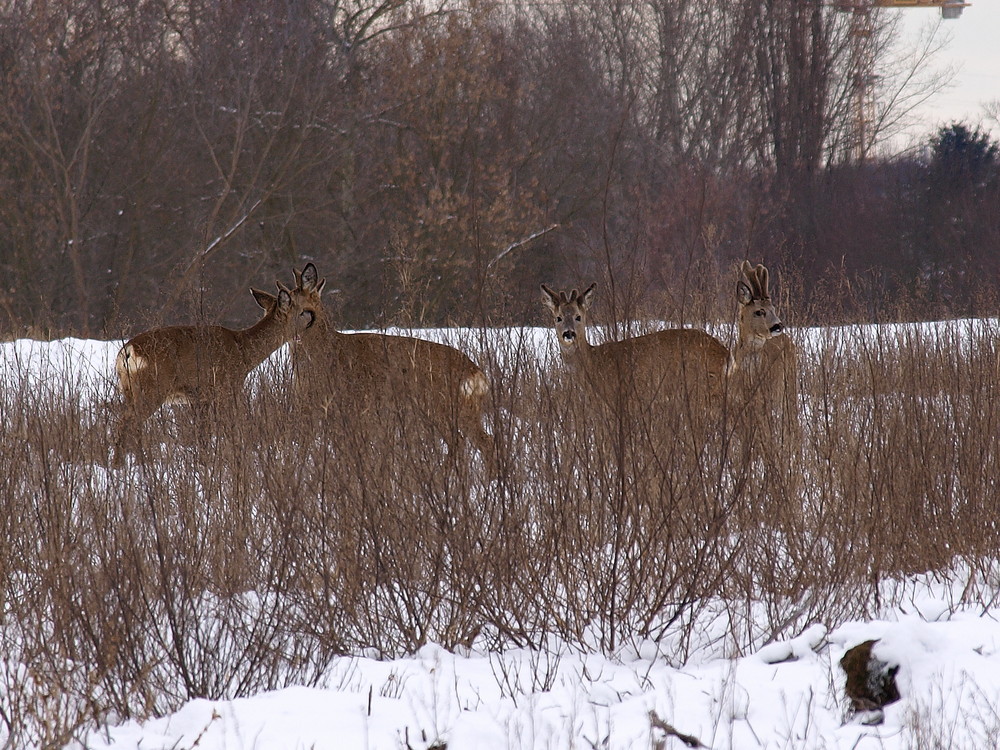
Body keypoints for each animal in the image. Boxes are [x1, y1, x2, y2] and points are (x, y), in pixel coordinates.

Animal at [113, 280, 318, 462]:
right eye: (301, 311)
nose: (312, 317)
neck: (243, 351)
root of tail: (128, 351)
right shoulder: (227, 387)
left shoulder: (199, 397)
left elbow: (202, 434)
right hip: (152, 387)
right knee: (128, 422)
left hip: (129, 389)